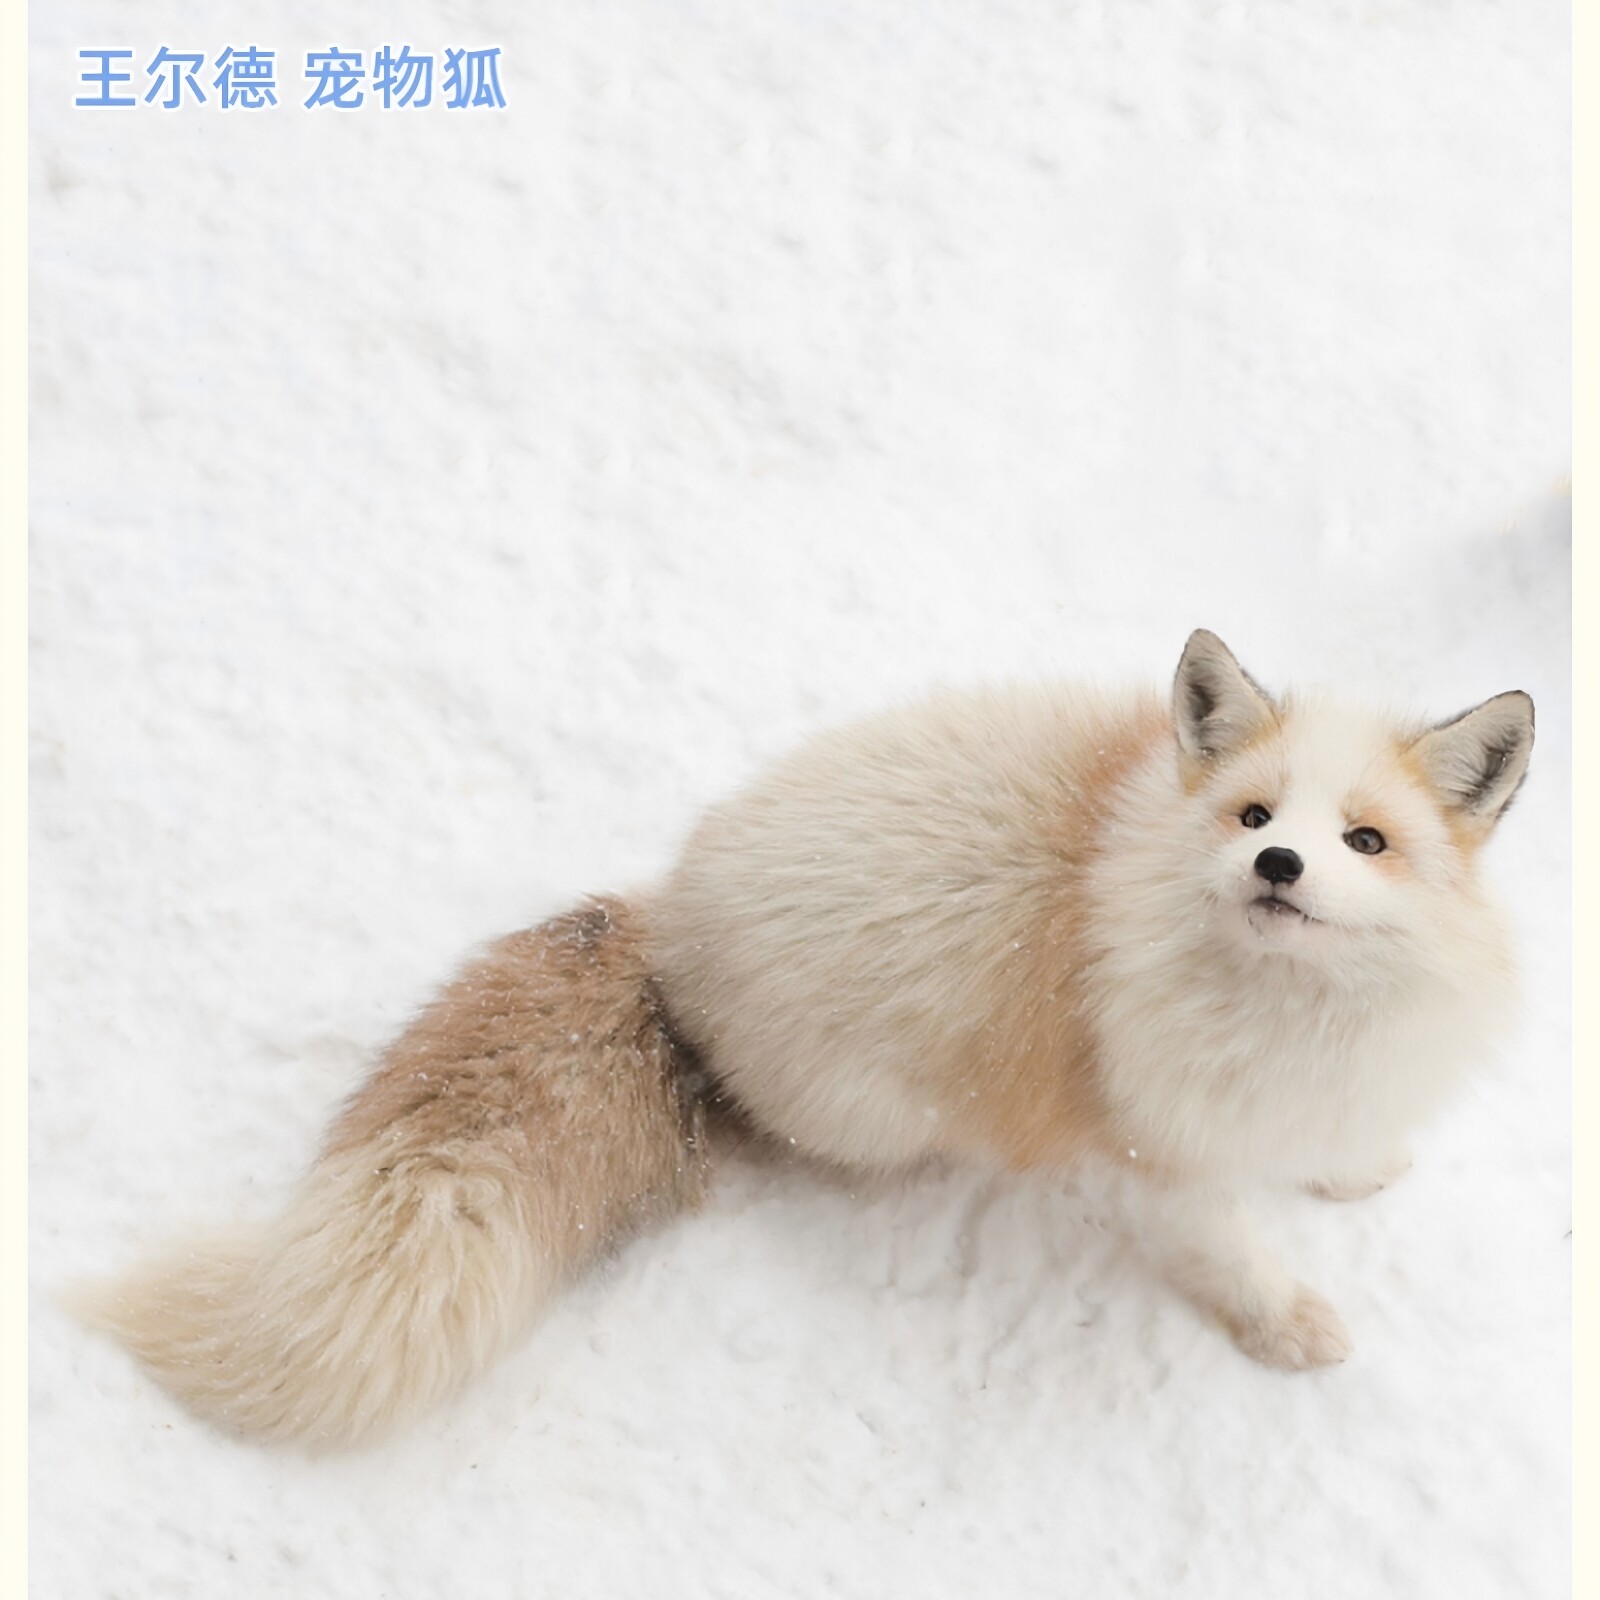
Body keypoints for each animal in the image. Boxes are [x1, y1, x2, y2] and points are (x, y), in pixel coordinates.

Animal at [71, 630, 1536, 1446]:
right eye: (1252, 816)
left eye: (1364, 841)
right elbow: (1234, 1259)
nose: (1280, 866)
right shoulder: (1159, 1145)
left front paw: (1353, 1169)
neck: (1290, 1012)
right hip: (874, 1114)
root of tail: (672, 923)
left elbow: (1330, 1151)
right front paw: (1286, 1333)